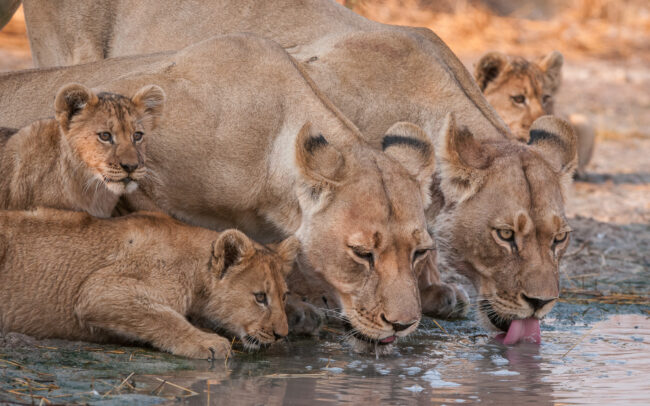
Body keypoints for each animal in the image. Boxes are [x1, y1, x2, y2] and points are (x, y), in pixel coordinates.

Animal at [0, 208, 298, 359]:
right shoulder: (97, 290)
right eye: (260, 297)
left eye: (284, 296)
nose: (282, 334)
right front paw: (208, 343)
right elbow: (164, 317)